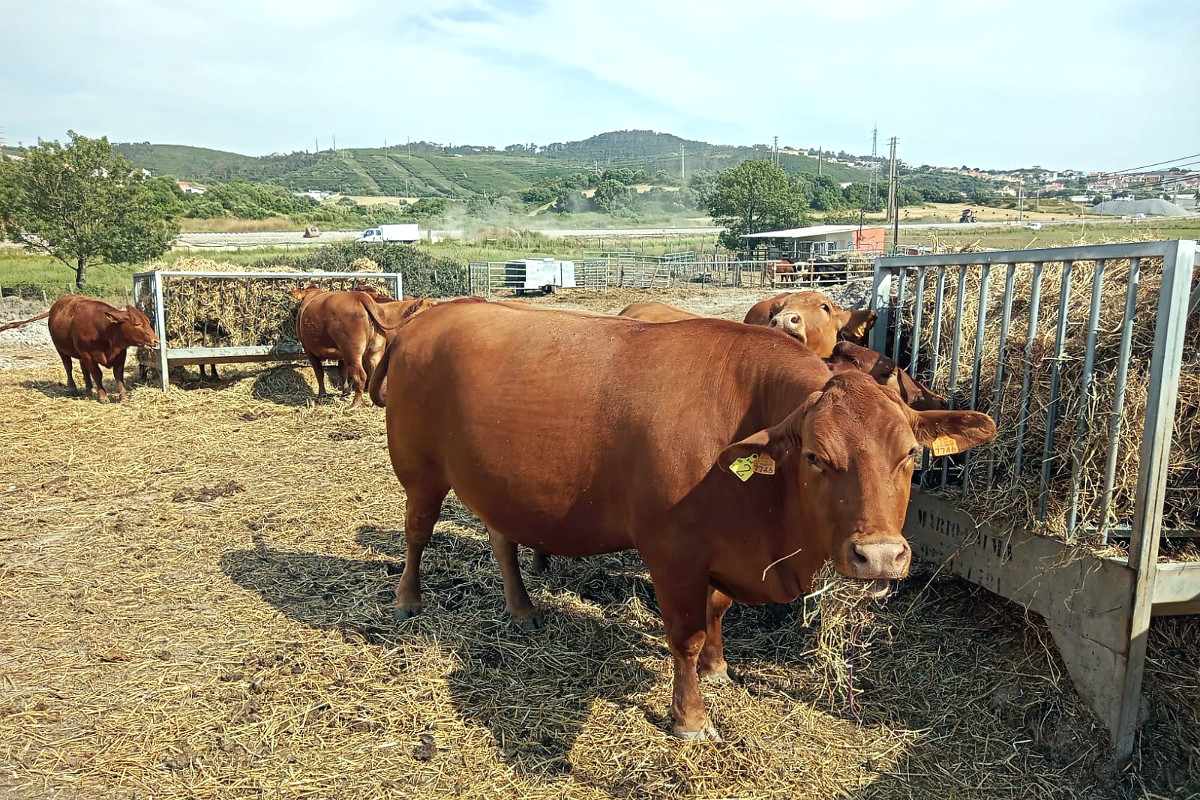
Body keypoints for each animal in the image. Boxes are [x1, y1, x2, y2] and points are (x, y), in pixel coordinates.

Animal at [0, 296, 160, 402]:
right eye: (137, 324)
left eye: (148, 321)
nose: (156, 340)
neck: (105, 331)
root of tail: (54, 307)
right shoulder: (88, 354)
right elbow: (97, 374)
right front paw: (103, 396)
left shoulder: (120, 354)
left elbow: (118, 375)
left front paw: (124, 396)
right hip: (62, 350)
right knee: (68, 367)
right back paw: (73, 388)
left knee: (84, 369)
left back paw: (90, 389)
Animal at [288, 287, 433, 407]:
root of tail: (359, 296)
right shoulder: (341, 354)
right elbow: (342, 371)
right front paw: (345, 392)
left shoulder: (309, 350)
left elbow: (320, 373)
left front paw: (322, 395)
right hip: (373, 351)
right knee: (373, 375)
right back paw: (373, 402)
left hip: (352, 351)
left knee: (360, 375)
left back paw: (354, 404)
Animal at [368, 301, 995, 740]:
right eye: (816, 456)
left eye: (910, 454)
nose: (881, 556)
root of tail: (427, 315)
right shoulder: (672, 553)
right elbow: (685, 637)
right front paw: (690, 717)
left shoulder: (721, 550)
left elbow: (717, 611)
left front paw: (720, 667)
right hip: (418, 470)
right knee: (418, 532)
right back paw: (407, 600)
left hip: (497, 482)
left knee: (502, 539)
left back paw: (522, 609)